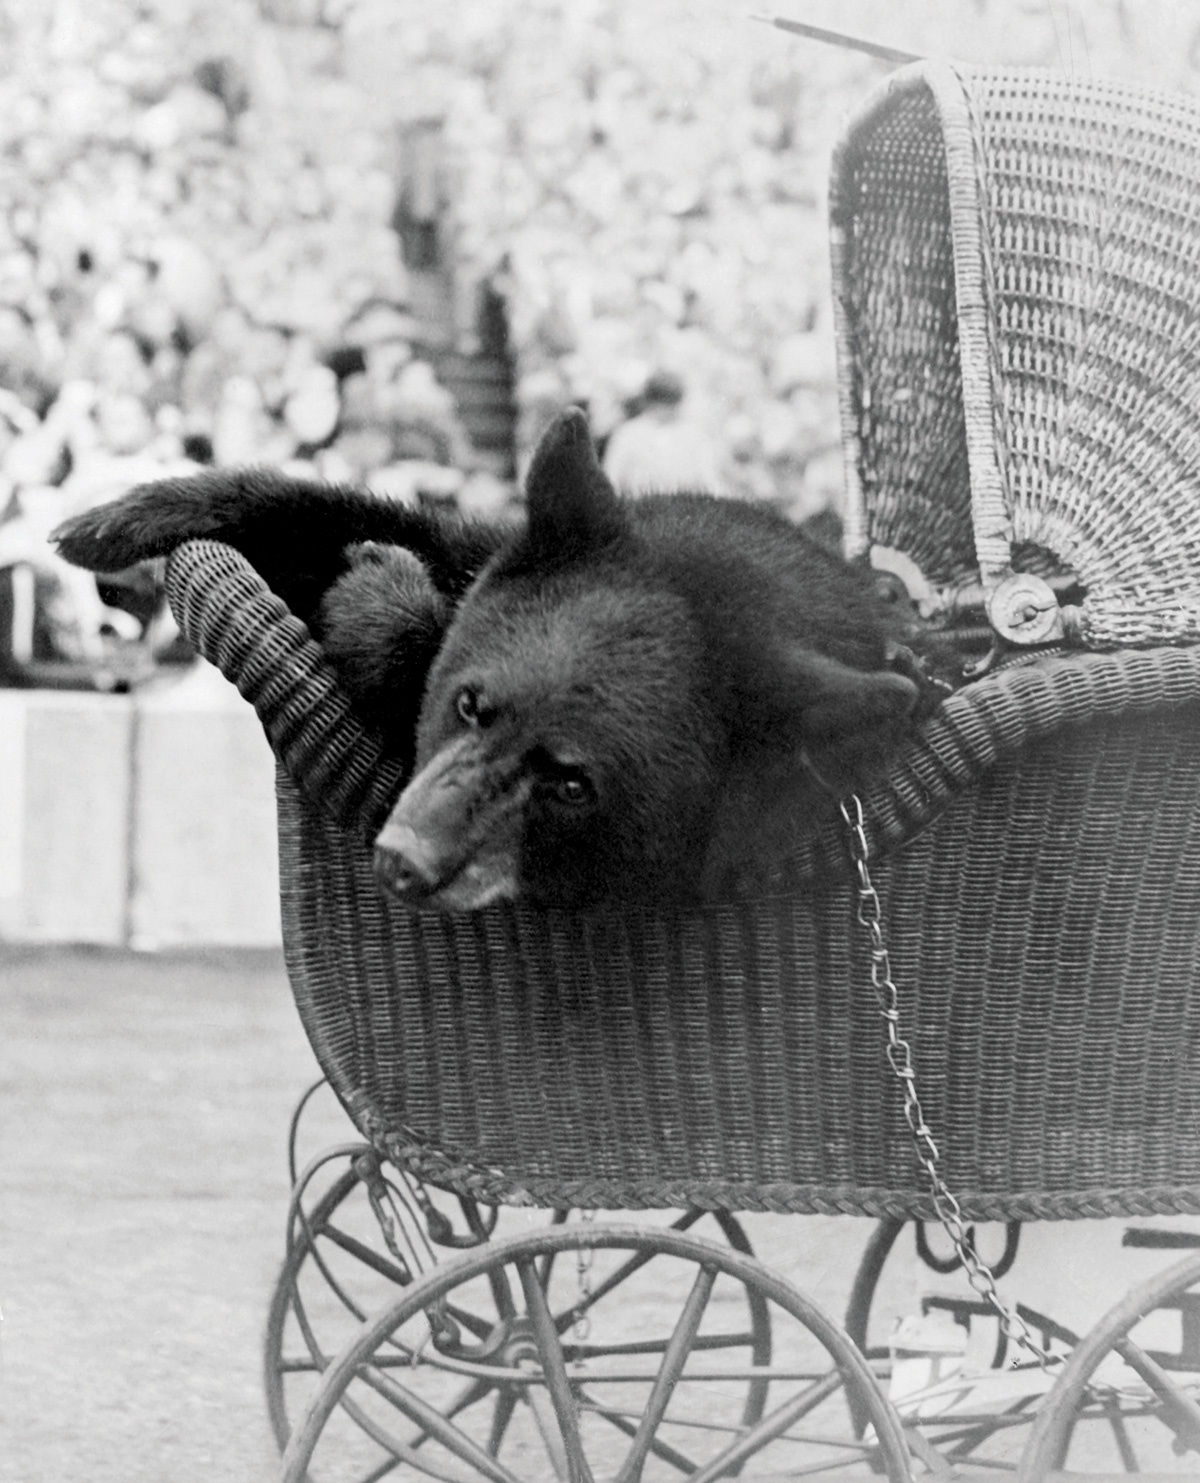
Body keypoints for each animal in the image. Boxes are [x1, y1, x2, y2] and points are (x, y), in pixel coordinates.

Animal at [58, 409, 955, 913]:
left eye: (574, 785)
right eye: (470, 703)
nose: (405, 860)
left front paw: (377, 587)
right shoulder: (506, 549)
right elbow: (371, 520)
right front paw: (113, 519)